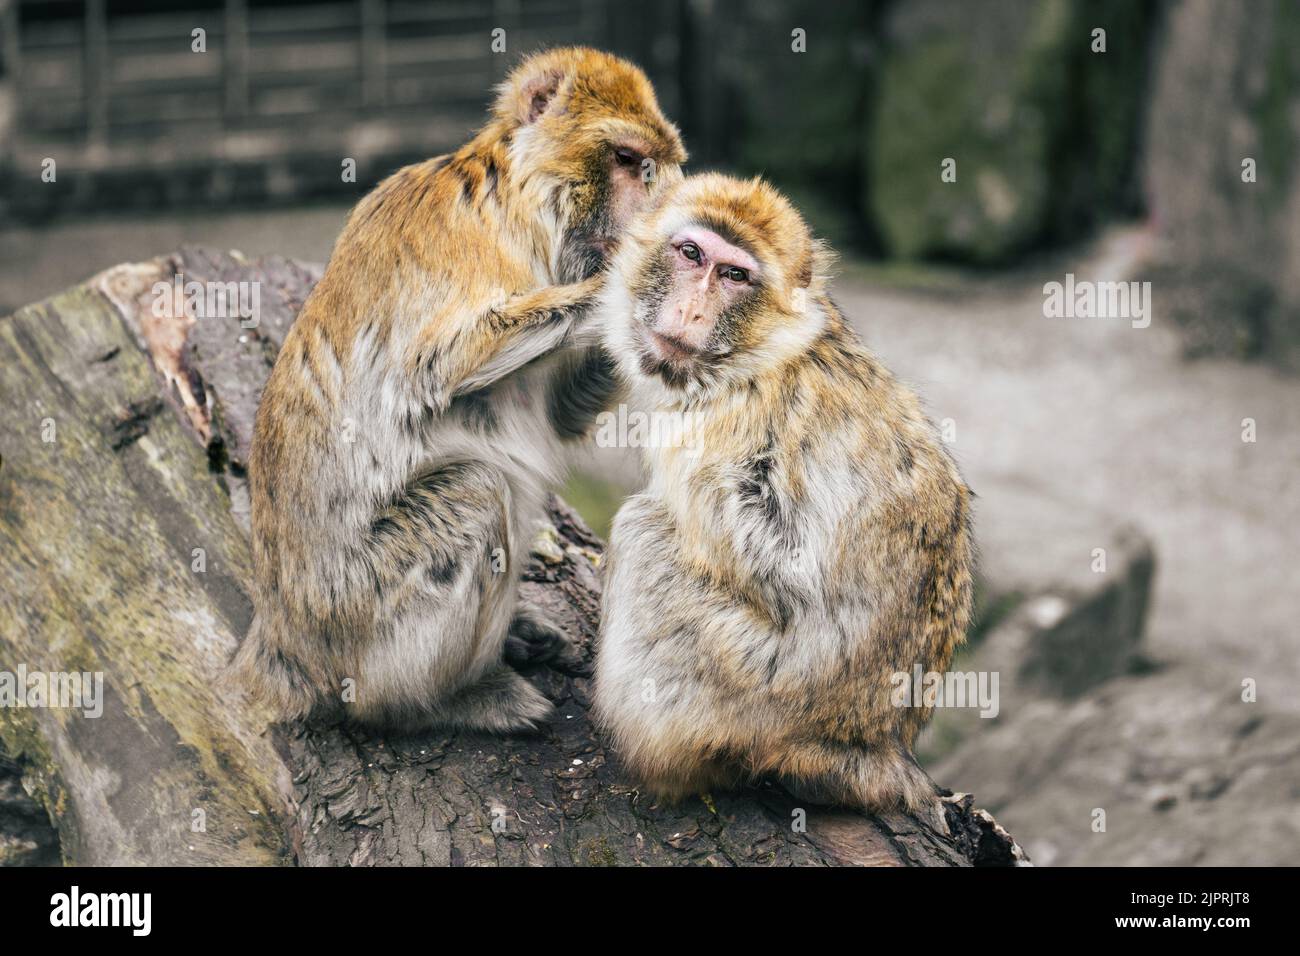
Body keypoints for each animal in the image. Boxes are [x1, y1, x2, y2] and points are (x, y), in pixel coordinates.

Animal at [232, 48, 686, 732]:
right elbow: (428, 372)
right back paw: (451, 697)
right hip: (358, 617)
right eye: (629, 160)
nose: (651, 214)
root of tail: (282, 643)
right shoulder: (458, 234)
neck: (524, 207)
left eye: (654, 166)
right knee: (474, 491)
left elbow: (560, 416)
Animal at [590, 174, 974, 819]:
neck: (760, 352)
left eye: (734, 275)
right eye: (690, 253)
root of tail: (873, 743)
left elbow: (776, 568)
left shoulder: (712, 431)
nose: (691, 309)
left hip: (748, 689)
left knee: (640, 530)